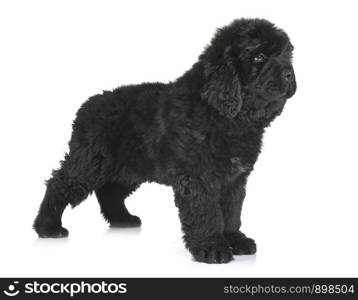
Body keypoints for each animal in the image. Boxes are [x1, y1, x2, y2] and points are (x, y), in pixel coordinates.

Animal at [33, 18, 296, 262]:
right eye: (259, 56)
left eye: (287, 54)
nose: (289, 75)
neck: (225, 115)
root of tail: (88, 105)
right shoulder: (199, 177)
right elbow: (206, 212)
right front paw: (212, 248)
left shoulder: (235, 178)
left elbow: (232, 211)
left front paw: (235, 240)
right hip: (90, 163)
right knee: (59, 183)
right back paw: (48, 226)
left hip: (129, 167)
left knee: (110, 191)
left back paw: (122, 219)